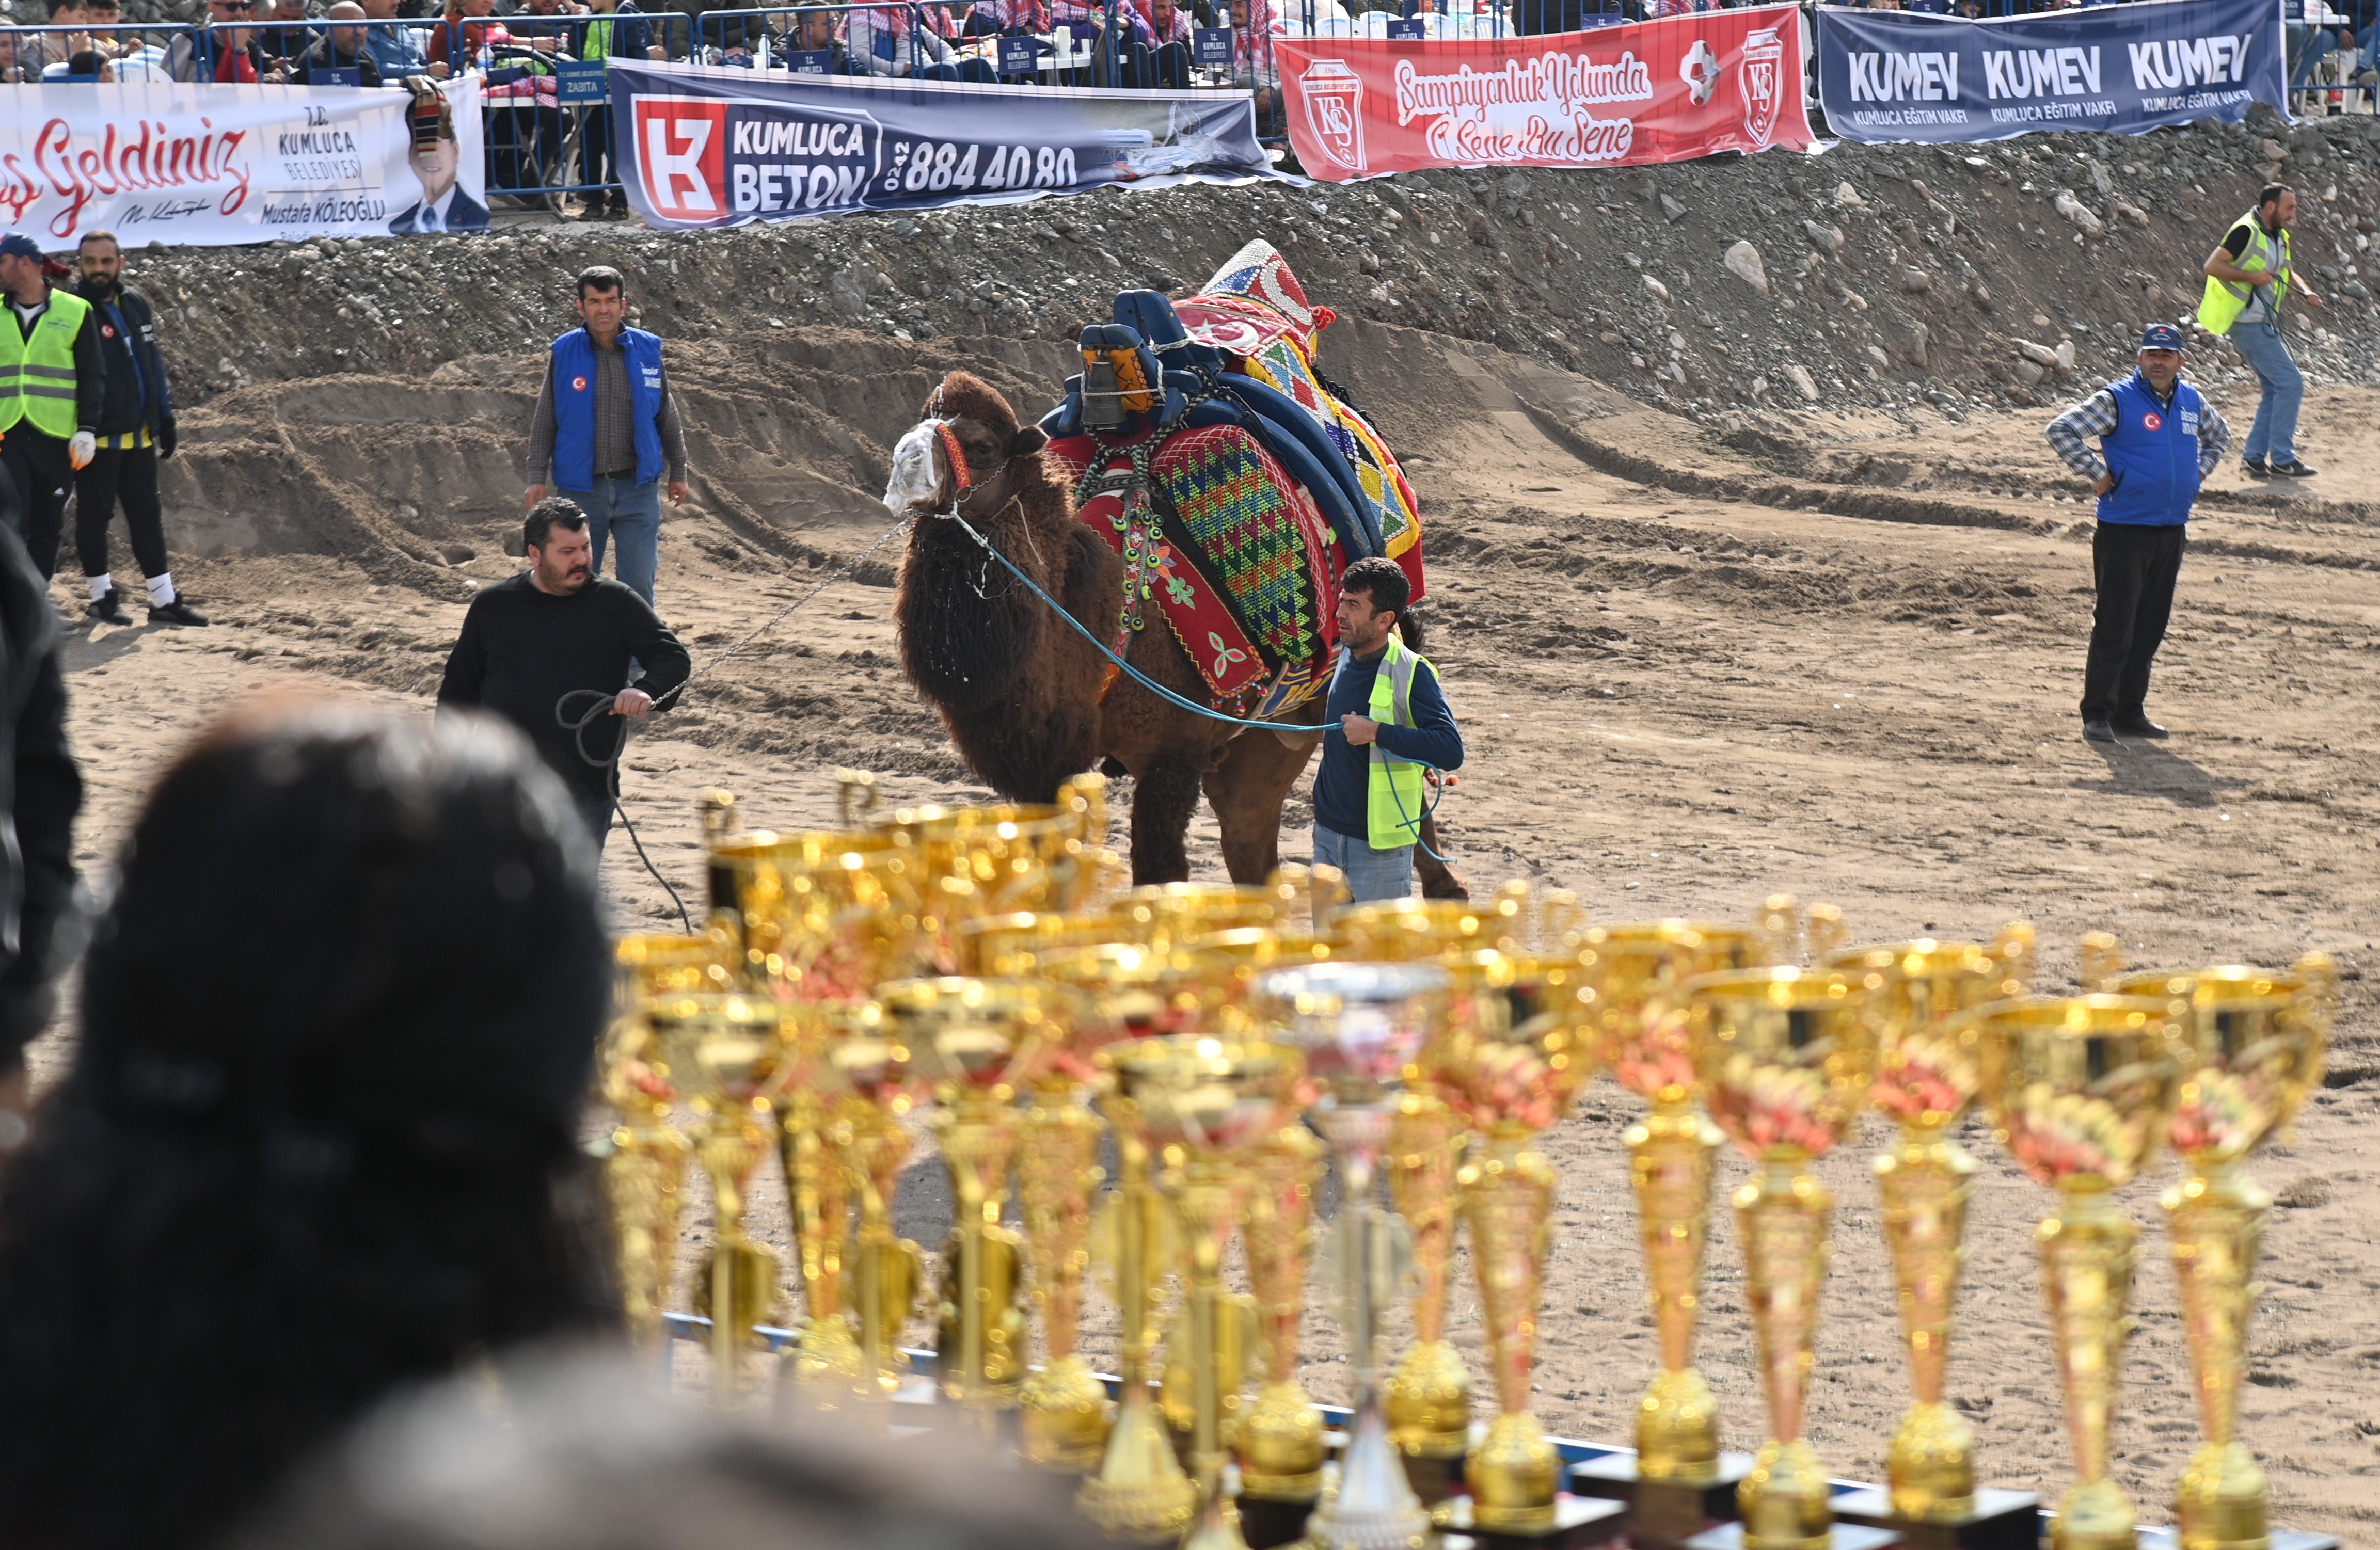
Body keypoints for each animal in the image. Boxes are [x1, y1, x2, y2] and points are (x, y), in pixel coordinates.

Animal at [885, 366, 1456, 895]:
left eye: (982, 446)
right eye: (919, 421)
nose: (901, 464)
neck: (1108, 627)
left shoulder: (1175, 755)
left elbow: (1159, 876)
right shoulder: (1047, 767)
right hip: (1265, 738)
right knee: (1250, 850)